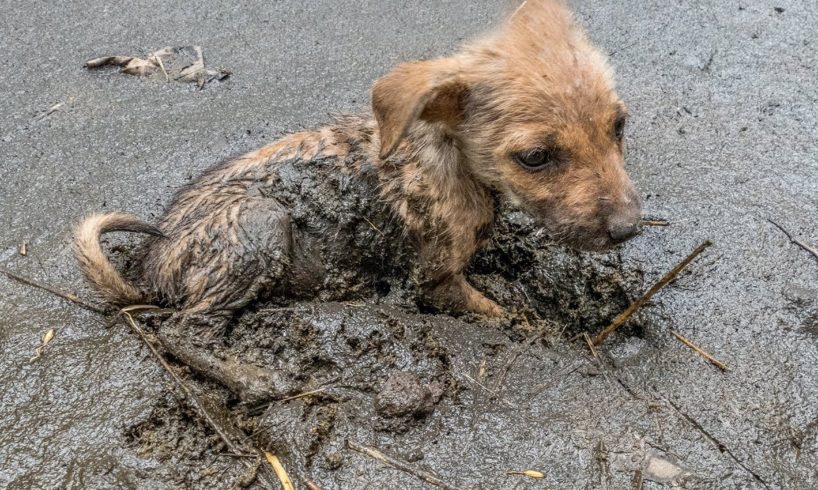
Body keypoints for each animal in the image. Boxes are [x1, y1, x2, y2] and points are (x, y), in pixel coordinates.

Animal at [73, 0, 640, 402]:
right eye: (536, 157)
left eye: (619, 125)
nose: (630, 227)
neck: (448, 159)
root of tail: (150, 267)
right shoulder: (434, 283)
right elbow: (497, 311)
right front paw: (529, 320)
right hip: (260, 222)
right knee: (183, 330)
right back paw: (252, 378)